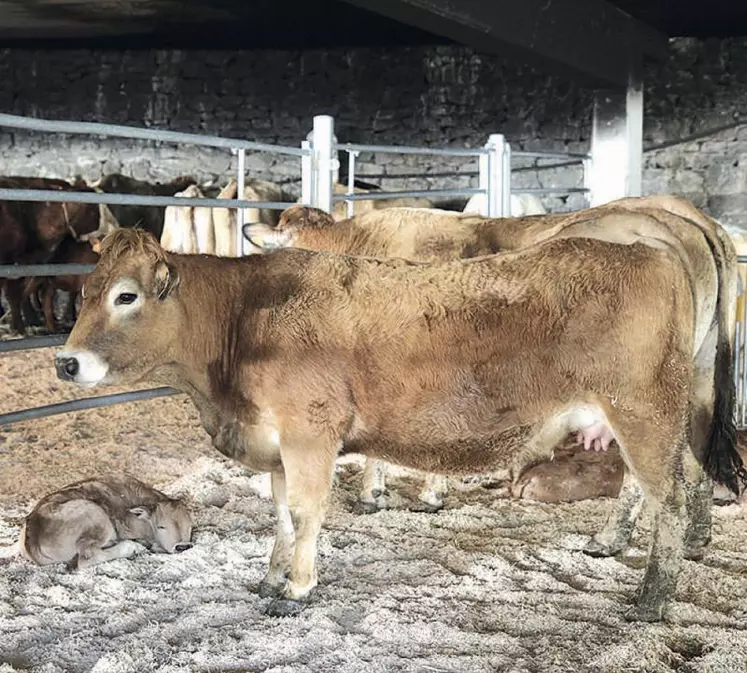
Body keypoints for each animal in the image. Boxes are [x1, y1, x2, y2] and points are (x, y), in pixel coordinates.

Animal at [22, 472, 194, 568]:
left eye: (190, 527)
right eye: (161, 527)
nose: (182, 546)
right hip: (95, 516)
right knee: (86, 558)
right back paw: (133, 547)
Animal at [54, 228, 744, 624]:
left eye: (125, 295)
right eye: (84, 291)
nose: (66, 362)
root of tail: (651, 253)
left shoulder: (309, 434)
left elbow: (305, 512)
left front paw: (298, 589)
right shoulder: (276, 445)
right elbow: (279, 514)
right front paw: (272, 576)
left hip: (644, 412)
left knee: (670, 498)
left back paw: (651, 599)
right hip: (659, 419)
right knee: (673, 483)